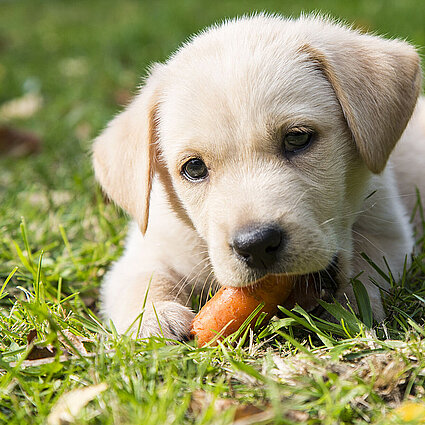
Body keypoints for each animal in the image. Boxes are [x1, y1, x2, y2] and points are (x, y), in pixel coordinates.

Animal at [91, 14, 422, 342]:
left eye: (297, 138)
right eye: (194, 168)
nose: (257, 245)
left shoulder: (390, 231)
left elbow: (366, 265)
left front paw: (350, 305)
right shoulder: (149, 249)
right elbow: (142, 282)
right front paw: (155, 319)